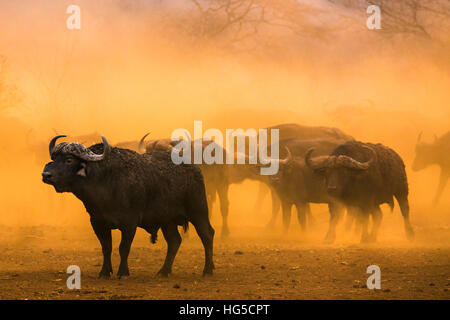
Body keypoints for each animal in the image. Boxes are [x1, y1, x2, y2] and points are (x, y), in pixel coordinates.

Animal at [41, 134, 214, 278]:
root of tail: (195, 169)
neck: (105, 181)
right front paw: (104, 272)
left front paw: (123, 272)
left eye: (69, 160)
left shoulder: (129, 223)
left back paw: (208, 269)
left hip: (198, 211)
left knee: (207, 234)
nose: (46, 175)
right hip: (167, 220)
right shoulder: (97, 222)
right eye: (54, 158)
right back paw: (164, 271)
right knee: (174, 241)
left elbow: (123, 248)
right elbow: (106, 247)